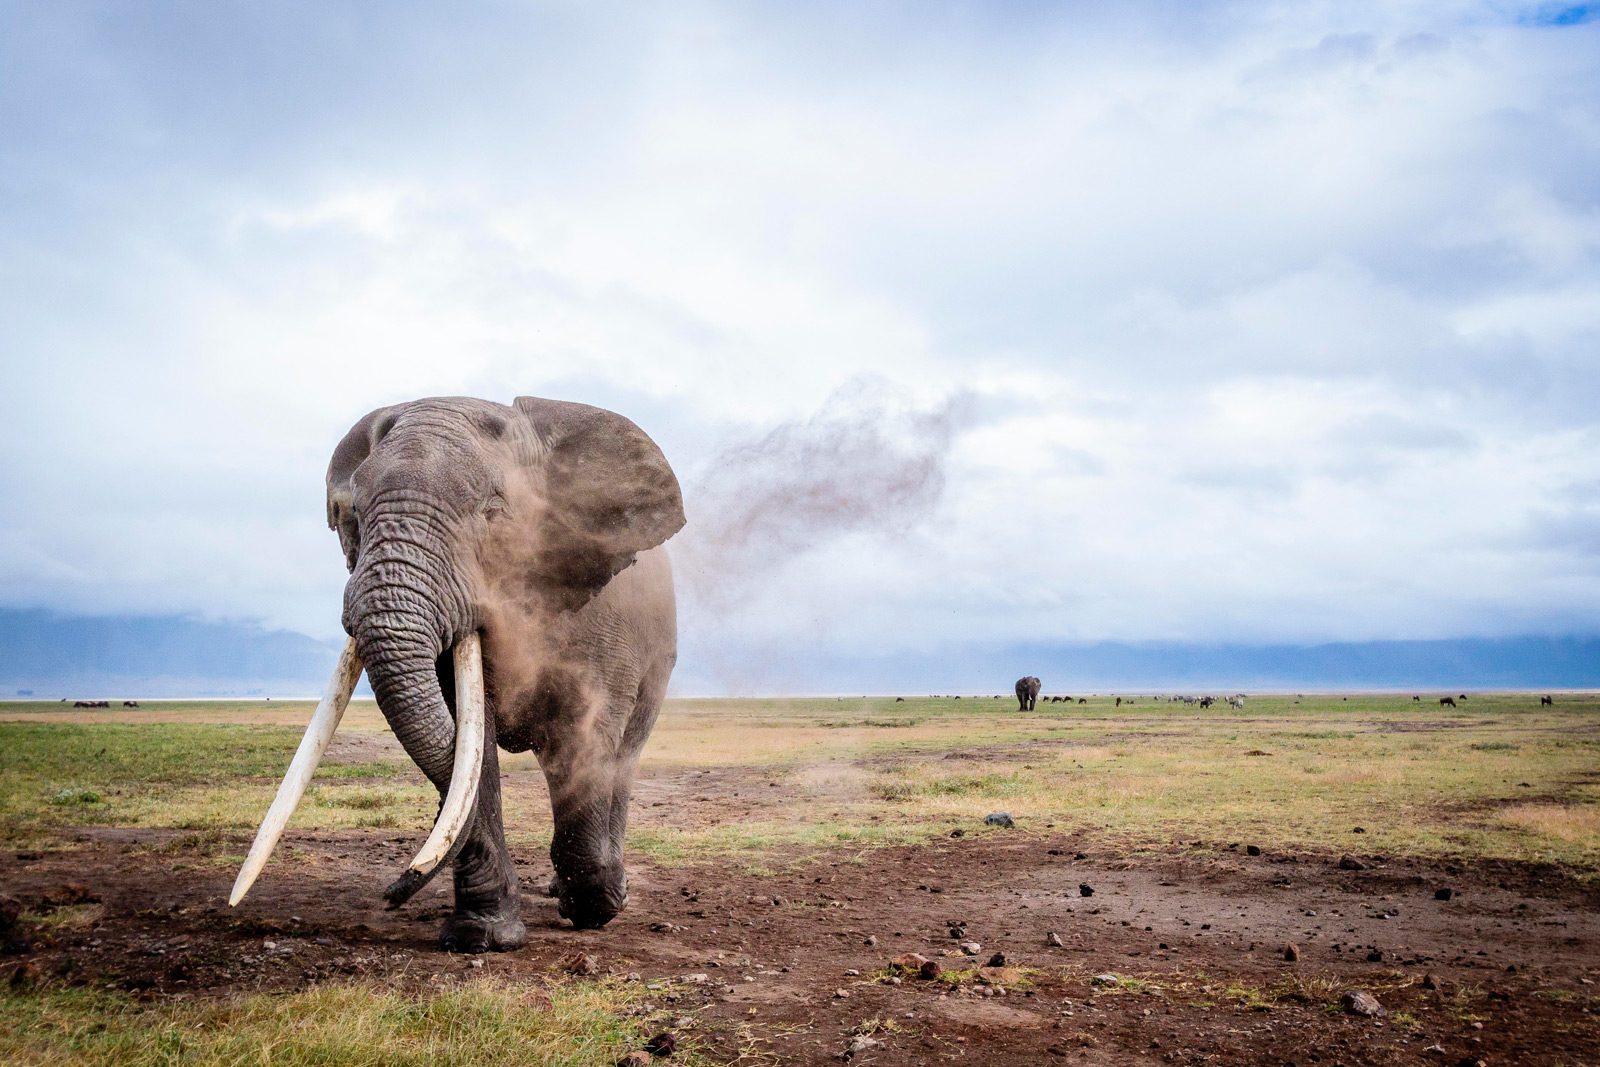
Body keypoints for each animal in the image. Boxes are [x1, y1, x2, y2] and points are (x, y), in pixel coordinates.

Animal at [233, 396, 684, 953]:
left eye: (493, 510)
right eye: (354, 513)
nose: (394, 891)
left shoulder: (605, 616)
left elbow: (586, 736)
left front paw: (593, 911)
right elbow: (468, 741)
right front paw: (482, 937)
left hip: (659, 658)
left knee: (623, 753)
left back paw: (604, 890)